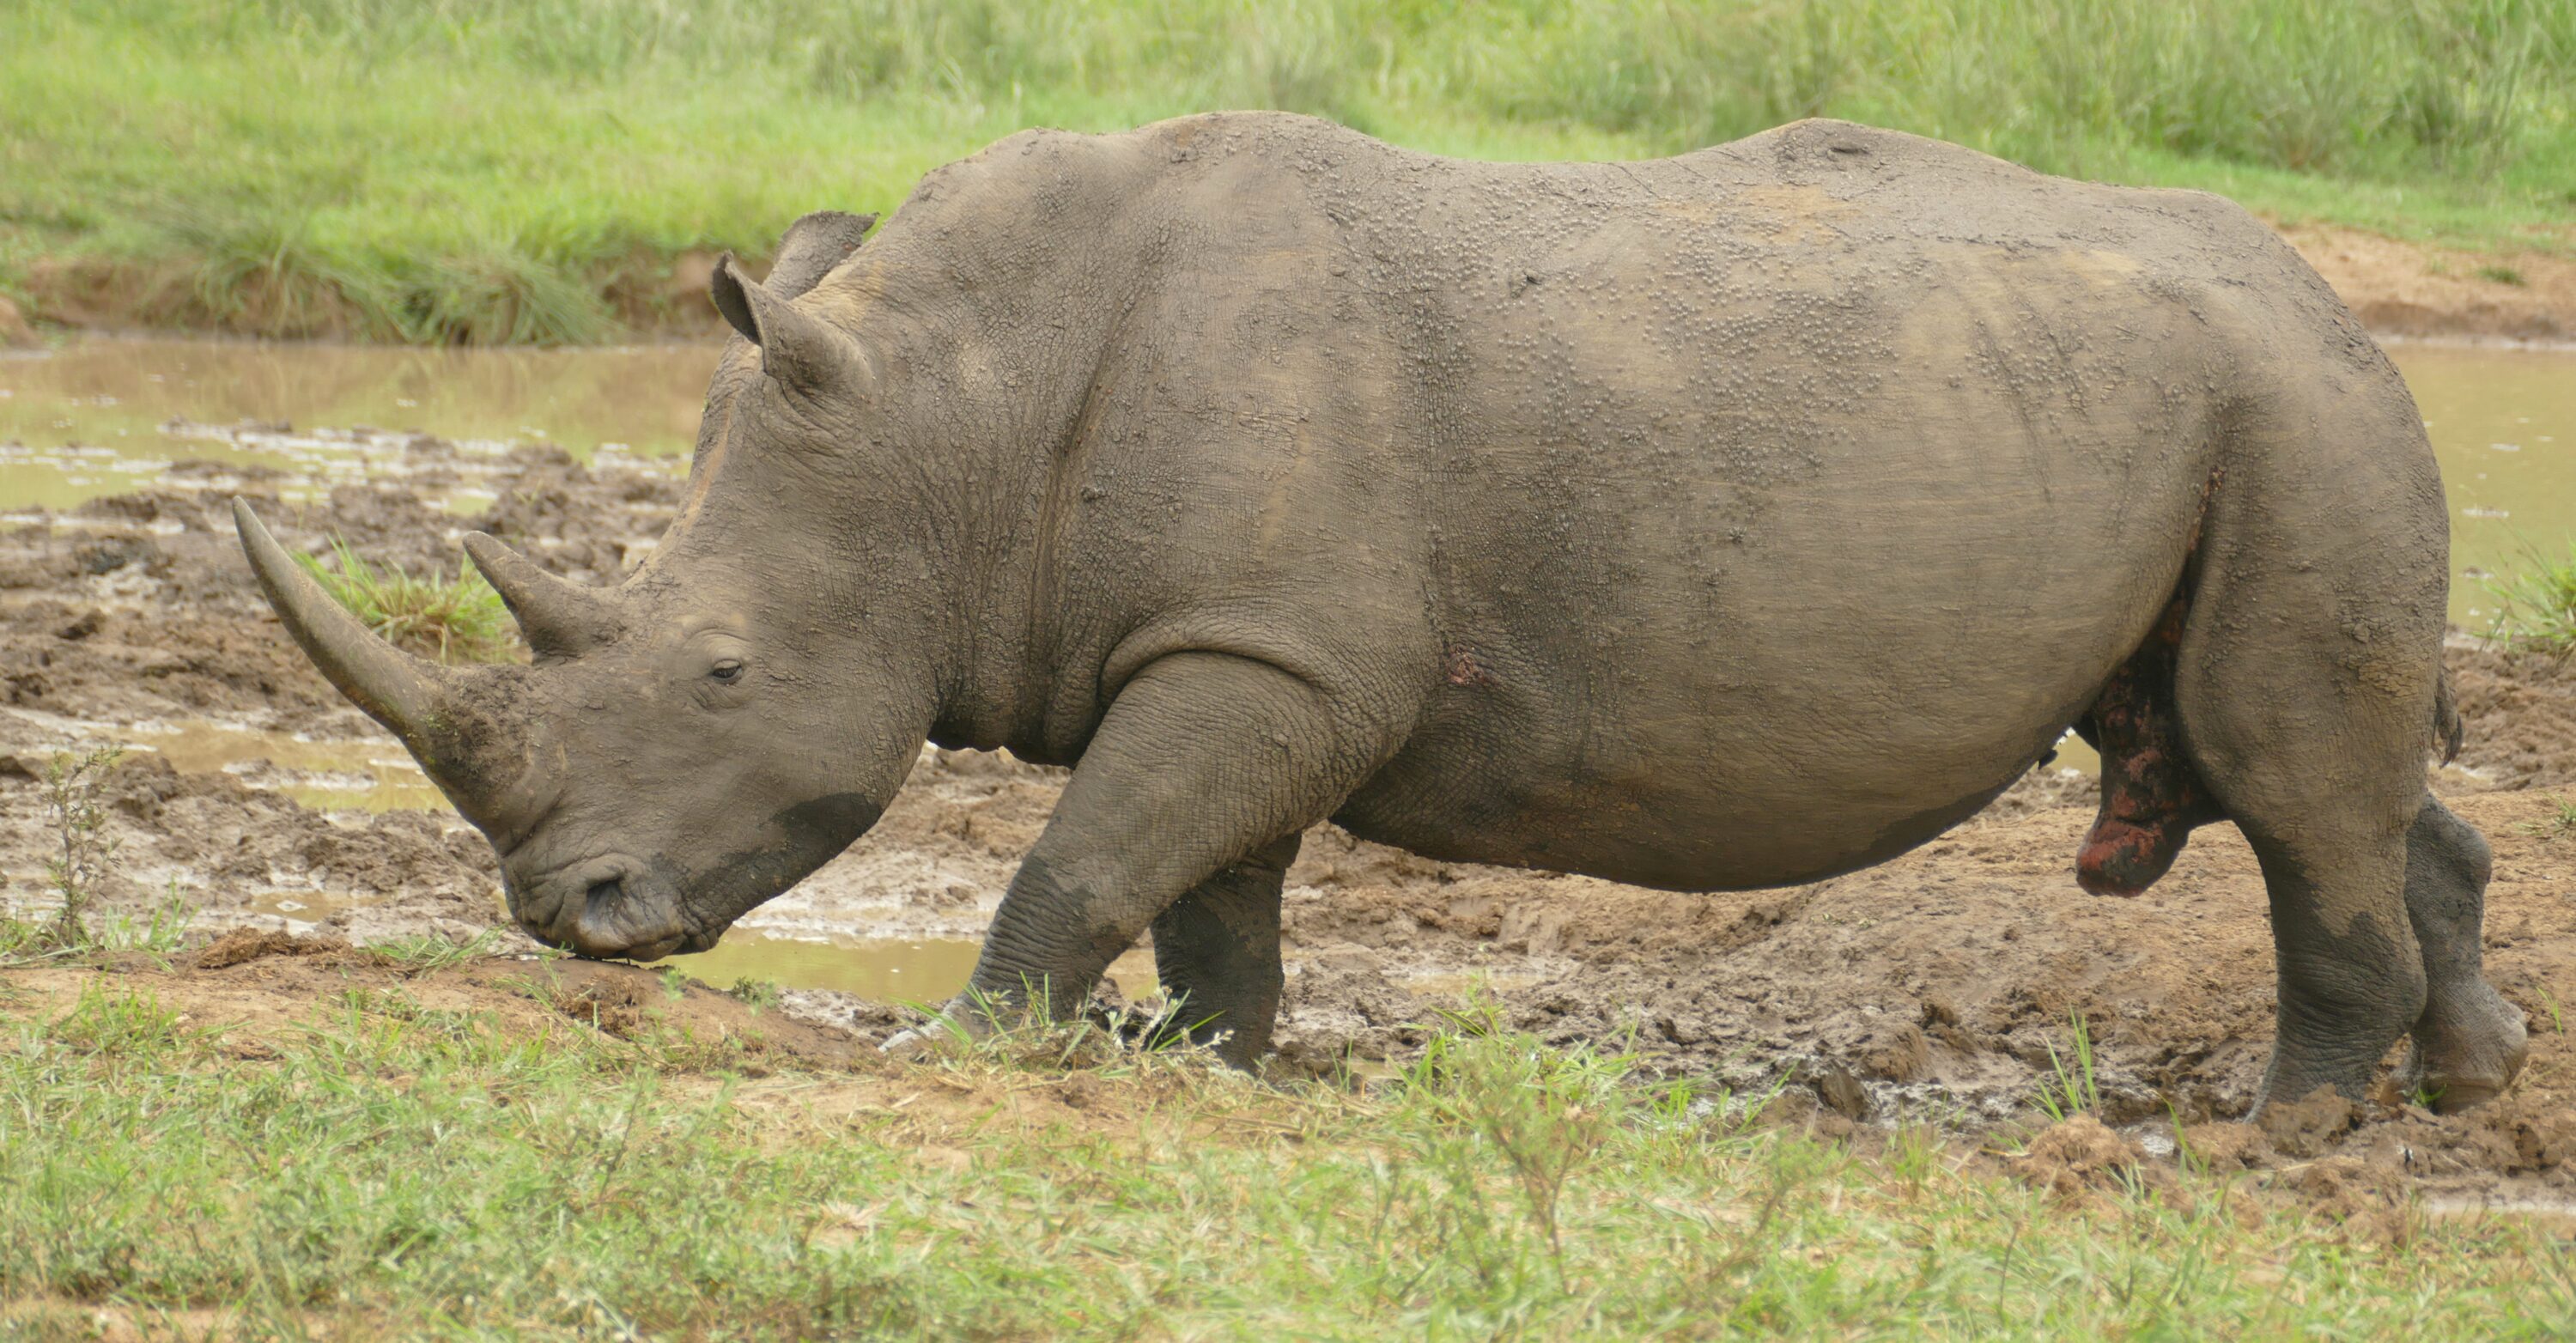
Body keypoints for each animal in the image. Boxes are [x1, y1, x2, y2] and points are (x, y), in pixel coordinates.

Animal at [237, 113, 2526, 1115]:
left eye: (718, 671)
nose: (567, 917)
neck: (953, 412)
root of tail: (2332, 294)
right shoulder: (1250, 642)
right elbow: (1207, 884)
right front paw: (1214, 1066)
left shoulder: (1266, 646)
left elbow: (1091, 855)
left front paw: (970, 1046)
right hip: (2236, 405)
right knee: (2267, 751)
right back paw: (2463, 1087)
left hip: (2301, 407)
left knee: (2281, 768)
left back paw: (2278, 1134)